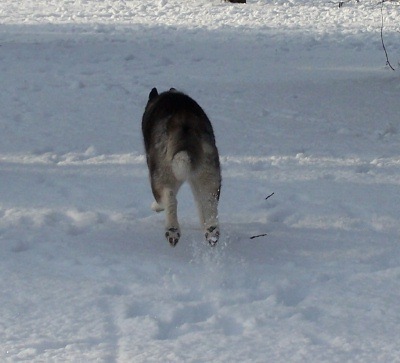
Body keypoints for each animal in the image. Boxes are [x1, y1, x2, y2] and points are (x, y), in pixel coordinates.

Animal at [141, 88, 222, 247]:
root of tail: (184, 121)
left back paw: (172, 231)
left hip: (162, 174)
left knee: (170, 198)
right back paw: (211, 232)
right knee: (209, 201)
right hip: (209, 172)